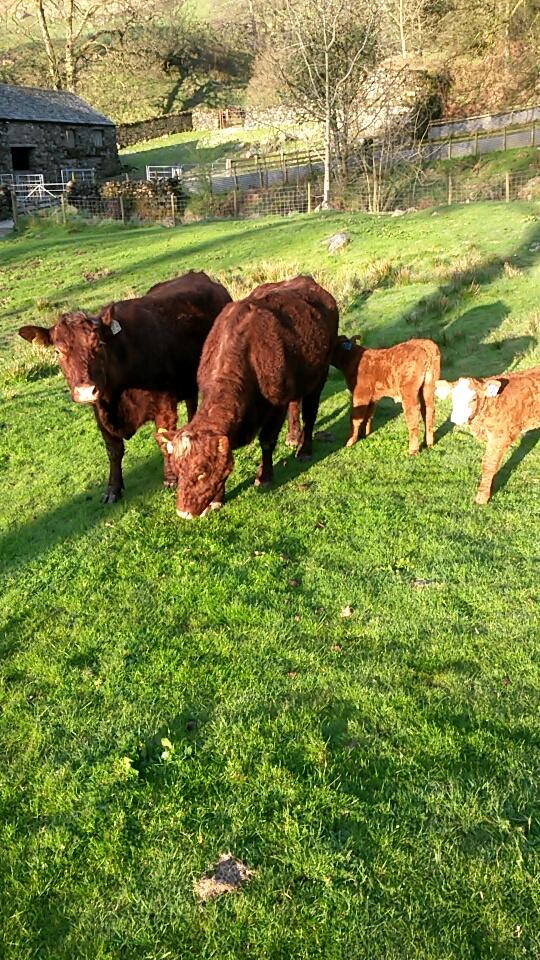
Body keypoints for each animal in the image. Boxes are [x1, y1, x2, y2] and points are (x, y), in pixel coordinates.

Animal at [18, 271, 231, 502]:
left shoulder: (165, 405)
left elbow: (163, 442)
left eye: (98, 344)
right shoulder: (99, 410)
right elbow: (113, 449)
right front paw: (113, 488)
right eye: (58, 351)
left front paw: (171, 479)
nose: (85, 391)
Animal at [156, 275, 339, 518]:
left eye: (202, 471)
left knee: (310, 414)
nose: (183, 512)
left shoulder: (276, 407)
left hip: (319, 376)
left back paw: (304, 448)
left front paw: (264, 476)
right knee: (296, 404)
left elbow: (267, 441)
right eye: (178, 470)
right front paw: (217, 498)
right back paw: (293, 436)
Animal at [435, 367, 540, 503]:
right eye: (453, 397)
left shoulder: (499, 437)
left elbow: (488, 464)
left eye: (474, 399)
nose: (457, 418)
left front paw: (482, 498)